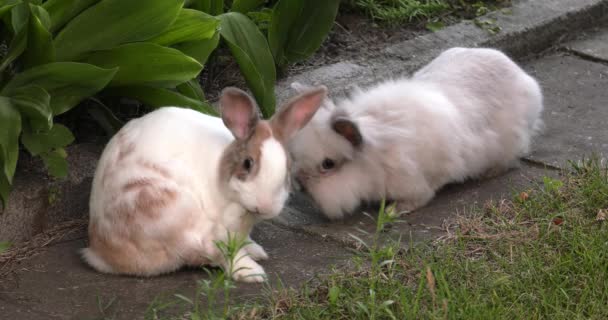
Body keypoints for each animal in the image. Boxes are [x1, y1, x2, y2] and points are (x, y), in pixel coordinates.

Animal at [84, 85, 328, 282]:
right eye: (247, 163)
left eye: (288, 166)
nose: (265, 206)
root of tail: (98, 252)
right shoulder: (221, 229)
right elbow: (224, 252)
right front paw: (254, 272)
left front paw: (256, 249)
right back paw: (250, 272)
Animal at [288, 47, 544, 220]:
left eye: (328, 164)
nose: (300, 186)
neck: (377, 155)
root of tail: (522, 76)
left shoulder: (416, 181)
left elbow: (420, 198)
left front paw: (393, 211)